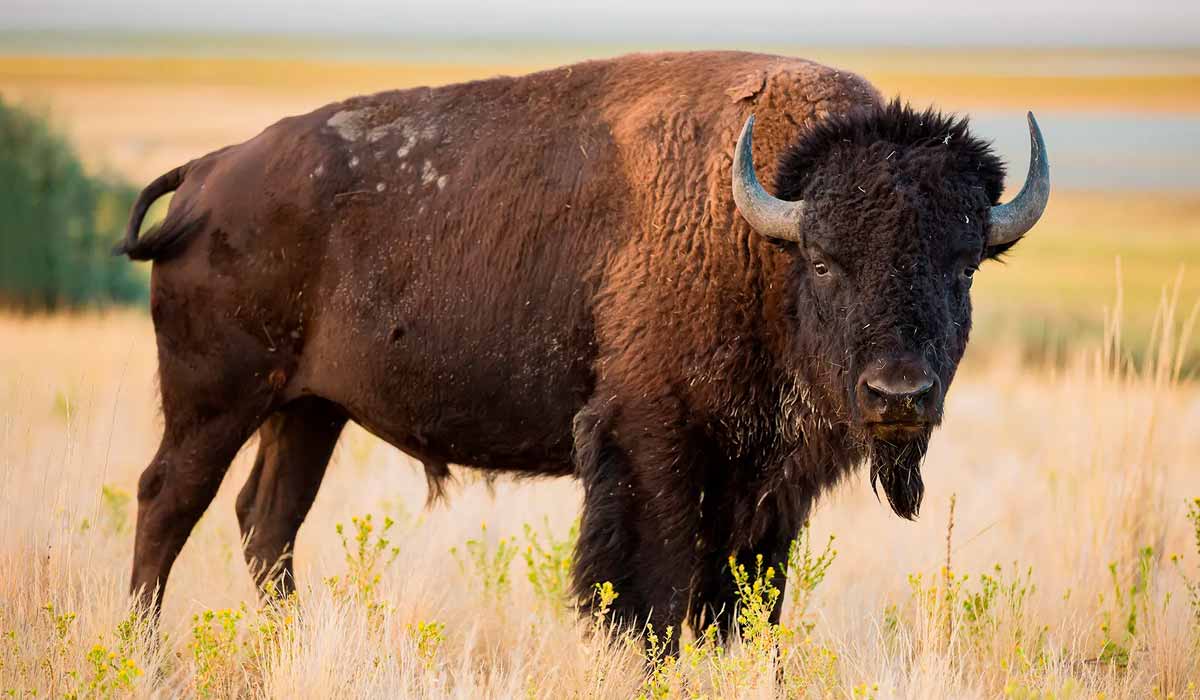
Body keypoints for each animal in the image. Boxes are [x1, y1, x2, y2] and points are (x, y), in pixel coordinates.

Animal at [117, 51, 1048, 638]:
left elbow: (743, 602)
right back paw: (142, 648)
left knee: (266, 521)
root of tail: (208, 173)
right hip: (216, 400)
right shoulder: (651, 446)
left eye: (964, 266)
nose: (899, 395)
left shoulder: (768, 485)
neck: (758, 234)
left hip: (309, 410)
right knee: (169, 501)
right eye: (824, 262)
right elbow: (652, 596)